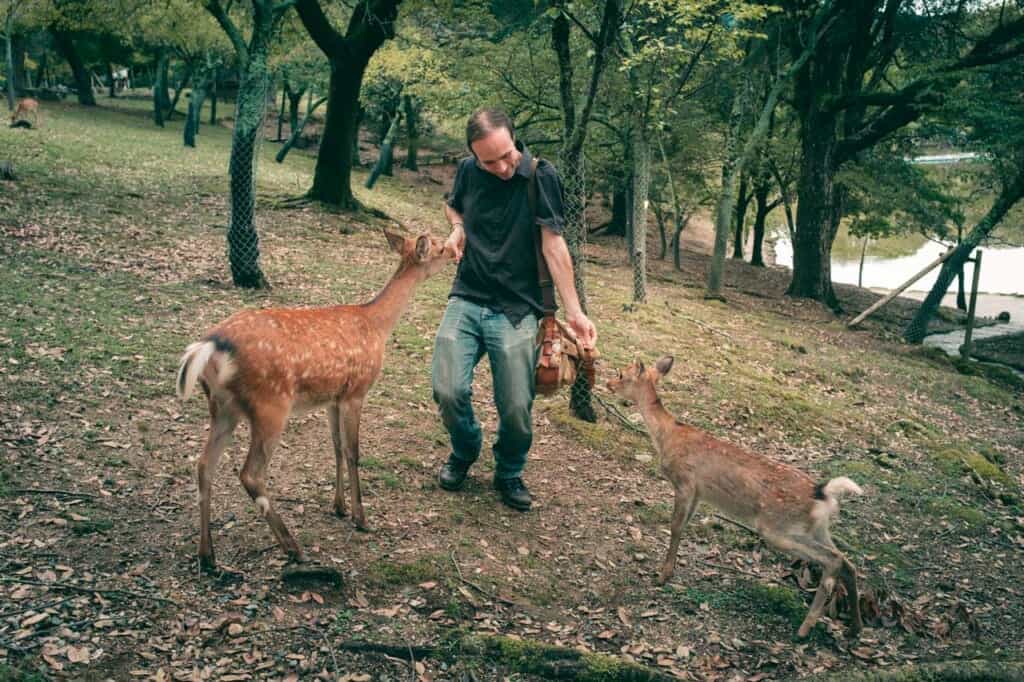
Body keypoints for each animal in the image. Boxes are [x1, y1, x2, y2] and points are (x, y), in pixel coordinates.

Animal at [176, 230, 453, 571]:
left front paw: (339, 507)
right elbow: (353, 452)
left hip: (222, 407)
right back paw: (292, 547)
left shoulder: (333, 397)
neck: (377, 325)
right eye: (438, 246)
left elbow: (335, 447)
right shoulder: (356, 391)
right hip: (270, 405)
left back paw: (207, 556)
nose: (455, 252)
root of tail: (209, 347)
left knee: (204, 465)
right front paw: (361, 518)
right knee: (250, 473)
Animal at [607, 356, 865, 638]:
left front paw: (663, 576)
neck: (667, 437)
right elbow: (683, 526)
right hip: (817, 528)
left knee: (834, 559)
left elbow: (675, 526)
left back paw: (805, 628)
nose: (608, 383)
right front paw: (669, 570)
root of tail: (822, 494)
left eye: (621, 374)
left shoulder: (685, 482)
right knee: (848, 562)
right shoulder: (698, 493)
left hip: (778, 527)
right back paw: (855, 627)